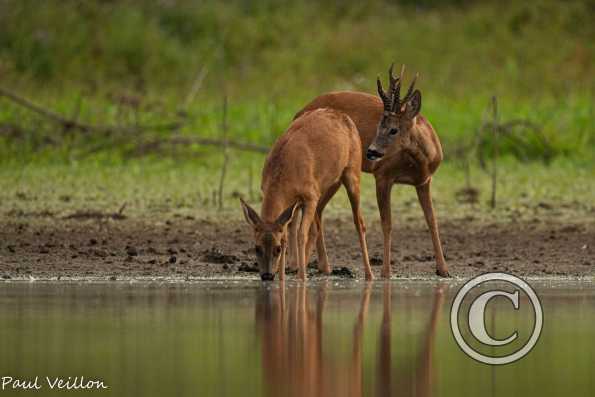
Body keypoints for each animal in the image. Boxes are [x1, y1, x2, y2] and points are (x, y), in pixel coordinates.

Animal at [296, 63, 450, 276]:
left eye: (394, 129)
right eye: (378, 126)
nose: (371, 151)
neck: (421, 161)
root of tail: (298, 113)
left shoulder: (424, 181)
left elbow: (432, 220)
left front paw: (443, 269)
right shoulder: (383, 175)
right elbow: (387, 223)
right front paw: (386, 271)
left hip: (334, 177)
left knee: (317, 209)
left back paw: (324, 267)